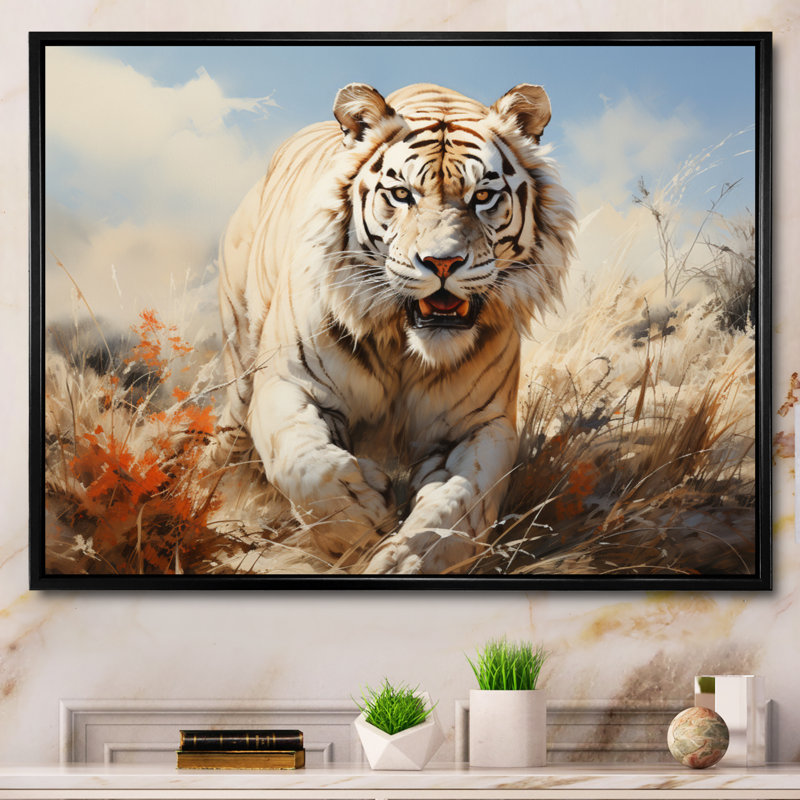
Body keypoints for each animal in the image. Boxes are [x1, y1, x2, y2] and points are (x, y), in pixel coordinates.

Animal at [216, 82, 575, 574]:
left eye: (482, 197)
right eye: (403, 195)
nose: (442, 262)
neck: (407, 347)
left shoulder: (480, 424)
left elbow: (458, 503)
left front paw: (405, 558)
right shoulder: (288, 384)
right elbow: (305, 464)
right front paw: (362, 519)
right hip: (241, 361)